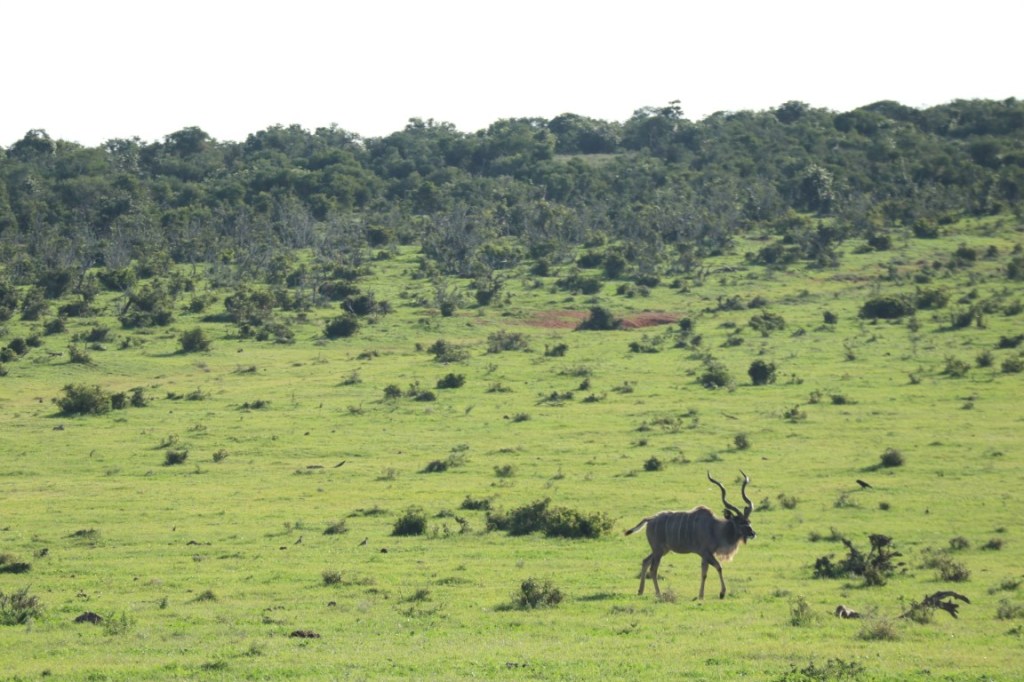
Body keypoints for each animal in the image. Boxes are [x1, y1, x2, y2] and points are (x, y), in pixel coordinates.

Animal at [625, 471, 755, 599]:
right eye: (740, 522)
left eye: (749, 521)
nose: (753, 533)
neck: (714, 527)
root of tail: (650, 519)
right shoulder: (706, 553)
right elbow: (718, 567)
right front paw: (721, 593)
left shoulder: (705, 555)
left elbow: (704, 572)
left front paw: (700, 595)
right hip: (658, 551)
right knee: (653, 569)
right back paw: (659, 594)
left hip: (662, 550)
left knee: (645, 561)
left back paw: (640, 591)